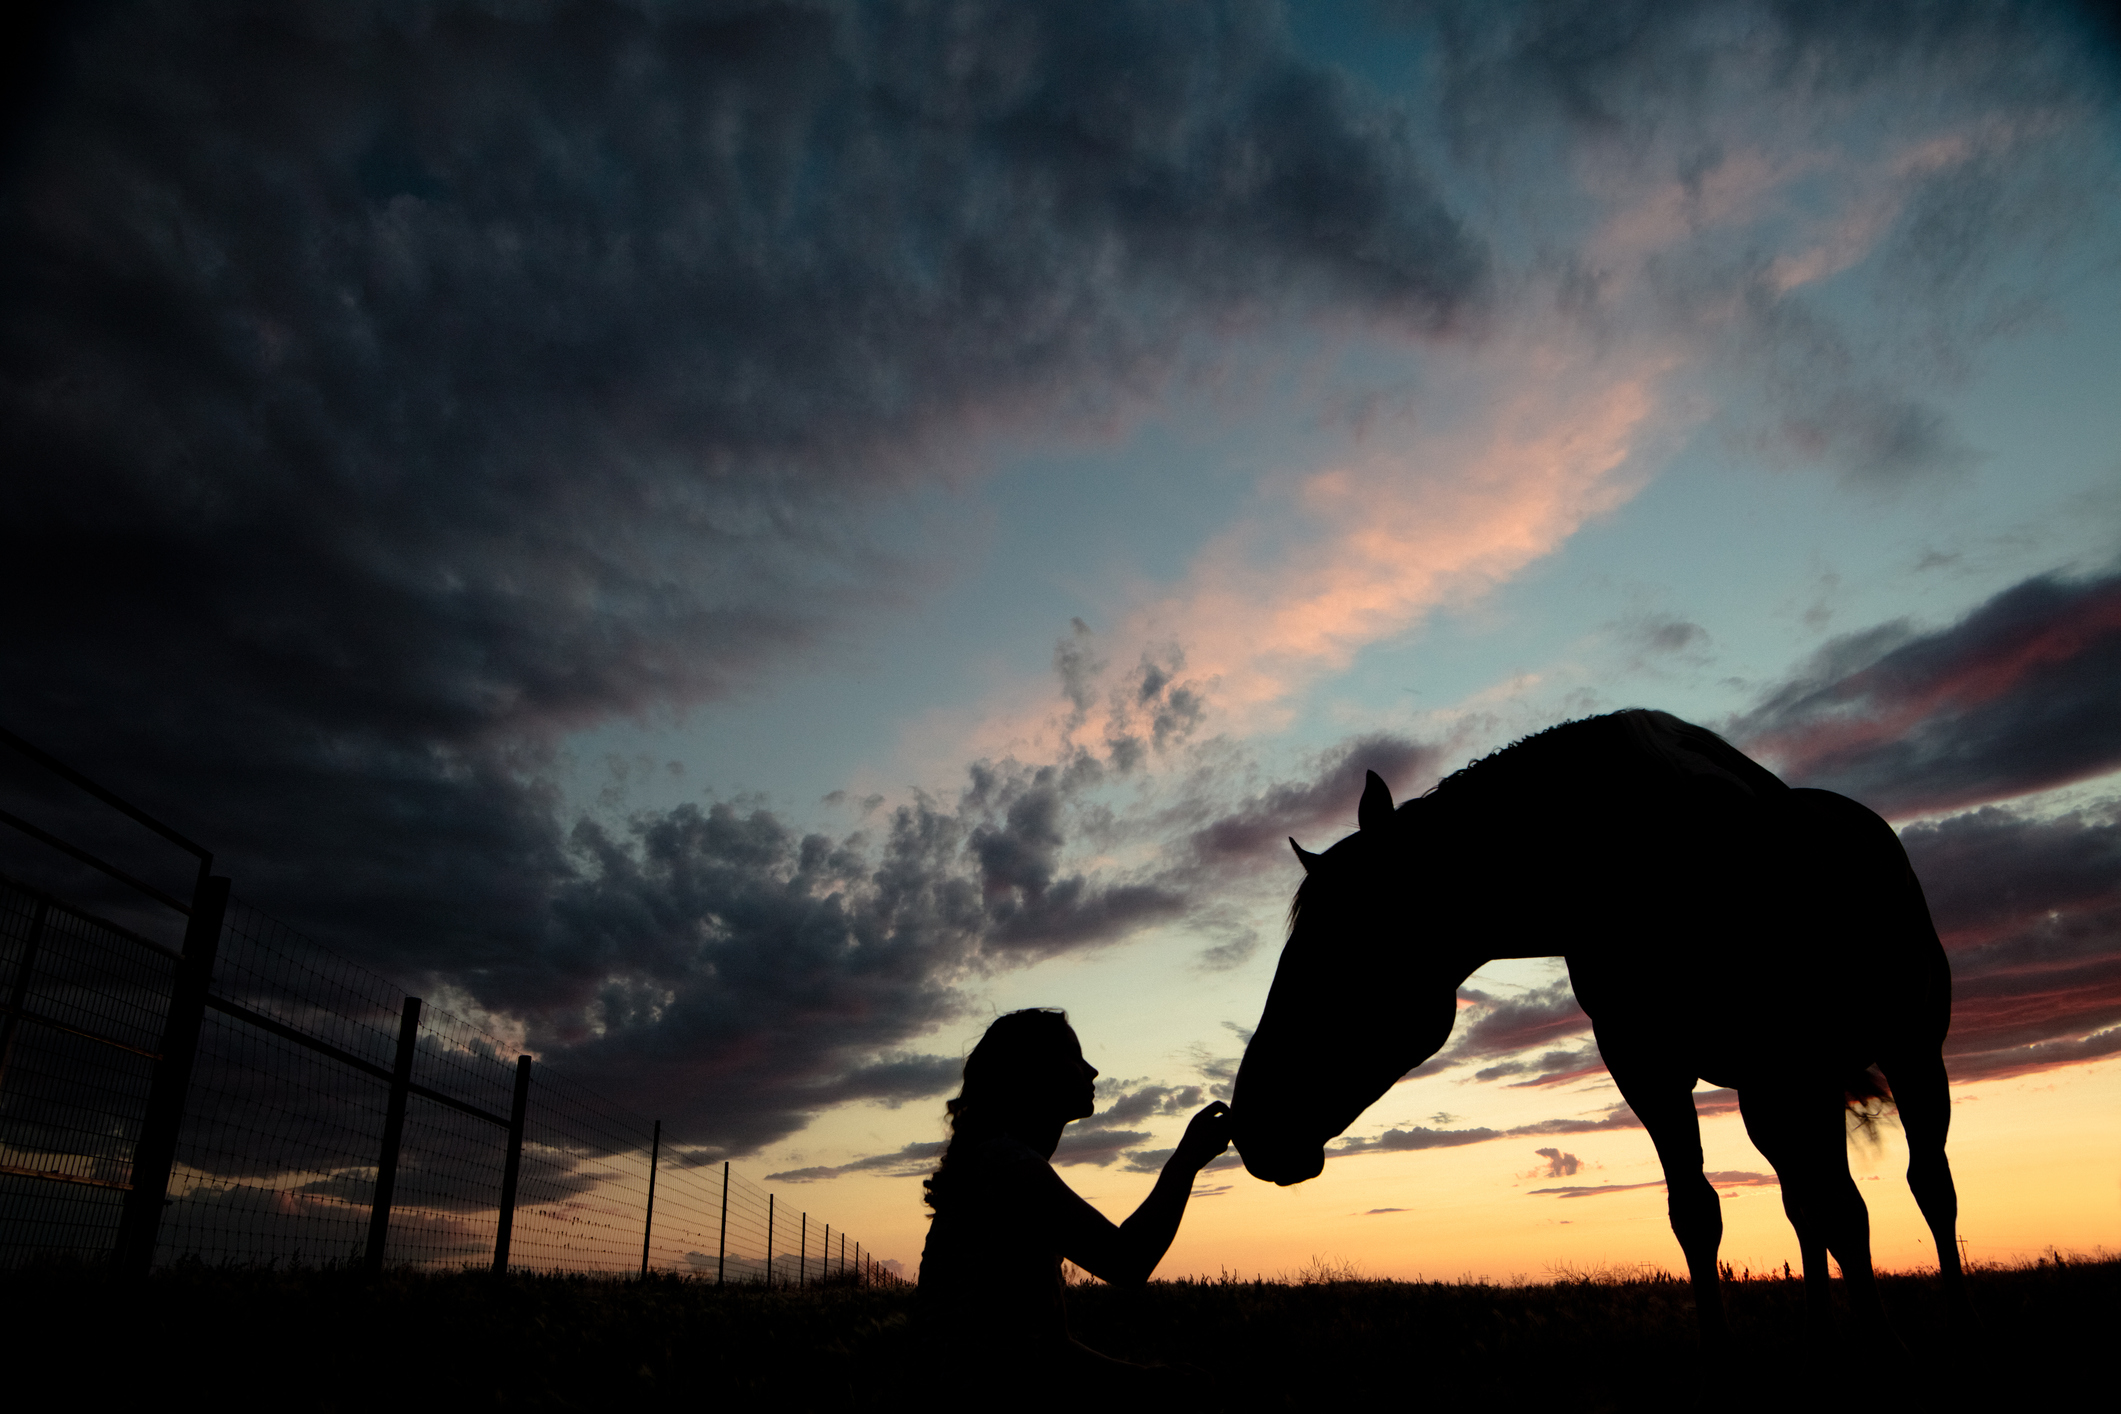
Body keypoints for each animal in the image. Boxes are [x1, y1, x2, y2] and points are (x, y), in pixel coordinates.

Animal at [1230, 708, 1968, 1343]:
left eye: (1344, 954)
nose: (1252, 1128)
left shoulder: (1799, 1061)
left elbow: (1847, 1212)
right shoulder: (1648, 1067)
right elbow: (1699, 1216)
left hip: (1904, 1055)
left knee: (1927, 1187)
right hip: (1765, 1097)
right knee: (1801, 1203)